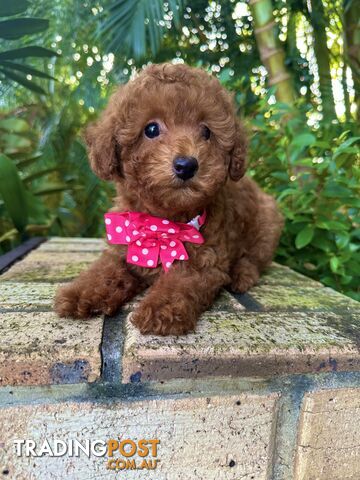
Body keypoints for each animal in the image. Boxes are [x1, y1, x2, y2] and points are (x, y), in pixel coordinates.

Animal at [54, 62, 282, 334]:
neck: (162, 225)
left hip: (267, 223)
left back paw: (241, 275)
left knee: (255, 258)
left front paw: (160, 310)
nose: (187, 165)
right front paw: (79, 293)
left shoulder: (204, 263)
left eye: (206, 132)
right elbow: (104, 270)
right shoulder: (123, 247)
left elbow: (180, 283)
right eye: (151, 129)